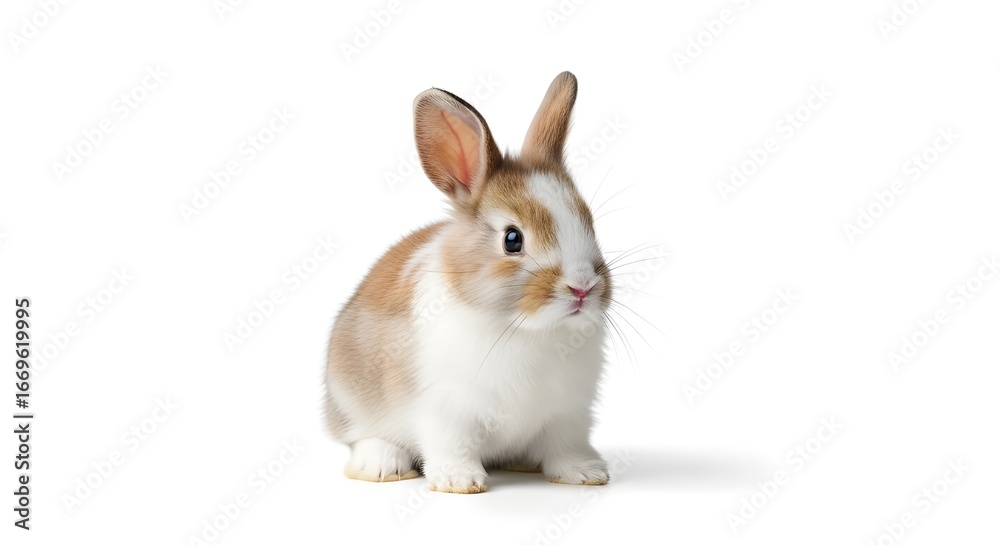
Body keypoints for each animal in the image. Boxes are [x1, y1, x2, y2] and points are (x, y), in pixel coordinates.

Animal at [325, 71, 613, 493]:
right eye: (513, 239)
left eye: (589, 223)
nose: (582, 288)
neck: (528, 330)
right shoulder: (446, 413)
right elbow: (452, 445)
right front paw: (459, 481)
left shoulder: (568, 415)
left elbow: (566, 446)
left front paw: (586, 474)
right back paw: (382, 465)